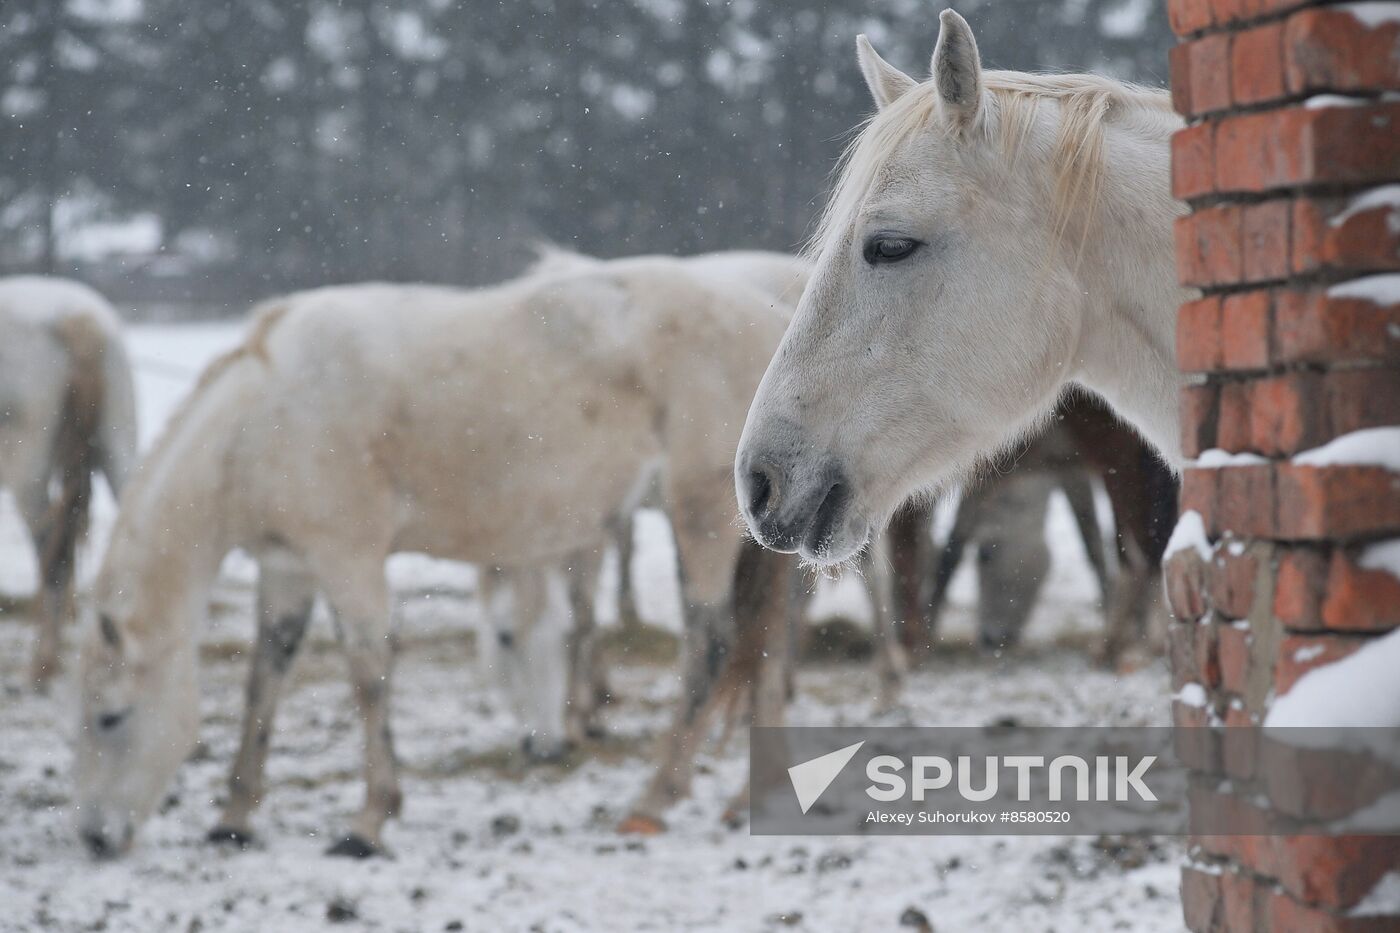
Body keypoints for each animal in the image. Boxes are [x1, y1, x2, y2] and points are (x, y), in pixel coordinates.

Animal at [76, 250, 812, 851]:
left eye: (111, 717)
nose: (94, 838)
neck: (265, 421)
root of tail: (771, 318)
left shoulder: (348, 559)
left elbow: (368, 673)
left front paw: (368, 821)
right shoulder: (288, 568)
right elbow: (266, 676)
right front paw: (234, 816)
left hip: (701, 519)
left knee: (711, 644)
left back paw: (653, 800)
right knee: (767, 647)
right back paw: (747, 799)